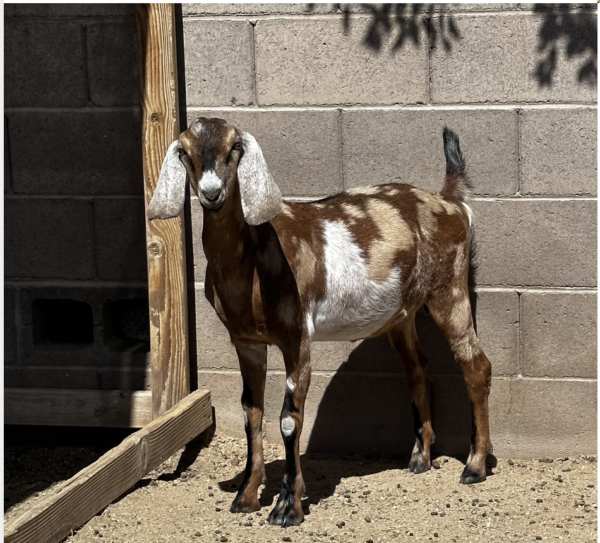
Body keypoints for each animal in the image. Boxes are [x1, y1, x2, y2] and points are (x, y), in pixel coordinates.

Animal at [149, 118, 492, 528]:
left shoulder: (296, 335)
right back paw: (420, 458)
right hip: (401, 314)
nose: (212, 193)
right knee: (417, 367)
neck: (252, 260)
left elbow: (288, 419)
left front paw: (287, 507)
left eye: (235, 147)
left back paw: (475, 466)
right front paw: (246, 496)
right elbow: (251, 412)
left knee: (476, 365)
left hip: (449, 289)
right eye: (184, 151)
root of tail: (450, 201)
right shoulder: (246, 341)